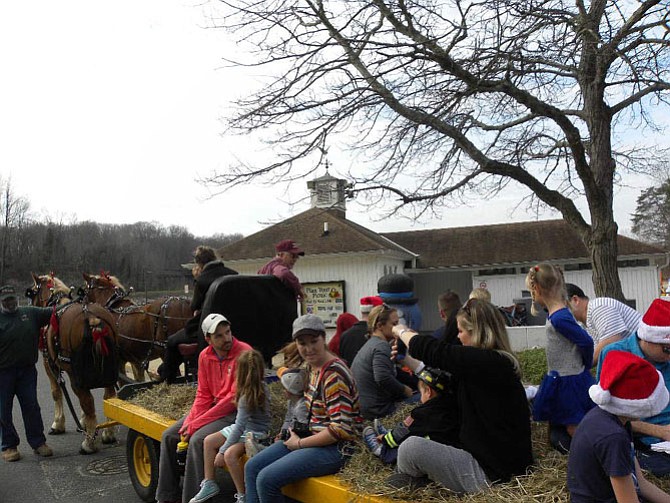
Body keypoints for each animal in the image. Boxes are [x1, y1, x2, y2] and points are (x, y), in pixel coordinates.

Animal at [26, 274, 117, 454]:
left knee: (88, 401)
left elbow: (56, 392)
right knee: (108, 397)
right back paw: (108, 434)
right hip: (107, 373)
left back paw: (88, 443)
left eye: (32, 292)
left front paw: (58, 424)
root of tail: (92, 317)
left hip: (77, 376)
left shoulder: (50, 364)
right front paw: (83, 422)